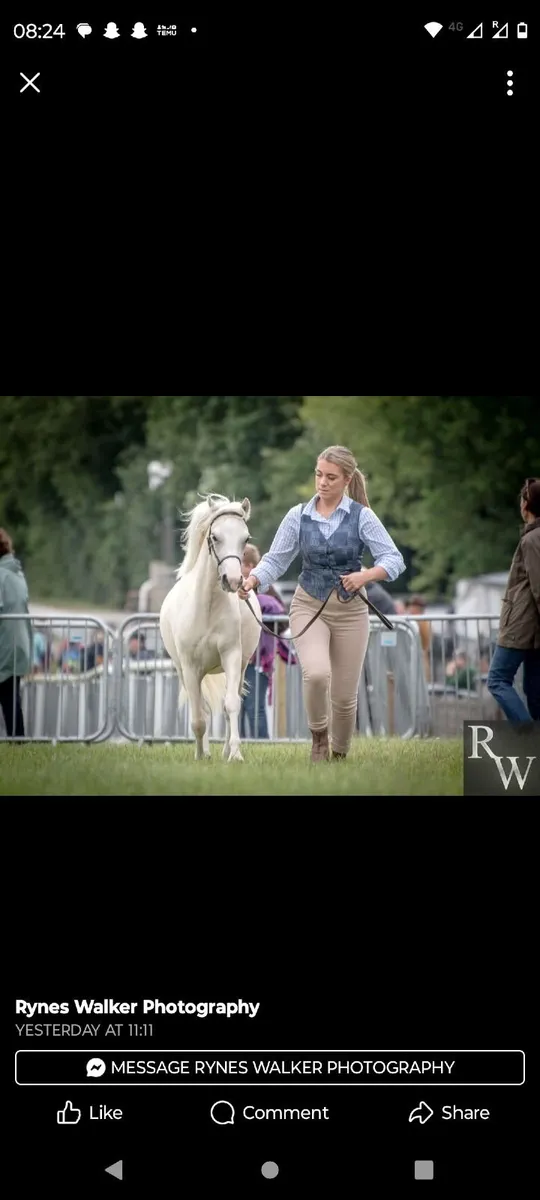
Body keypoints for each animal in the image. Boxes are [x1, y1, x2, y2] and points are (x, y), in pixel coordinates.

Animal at [159, 494, 262, 761]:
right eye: (215, 536)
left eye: (245, 539)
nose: (233, 581)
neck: (207, 609)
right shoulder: (189, 666)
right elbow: (198, 717)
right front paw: (200, 755)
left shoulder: (232, 657)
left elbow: (231, 705)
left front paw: (235, 754)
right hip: (185, 671)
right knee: (202, 709)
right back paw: (204, 751)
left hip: (239, 666)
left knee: (227, 705)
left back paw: (225, 750)